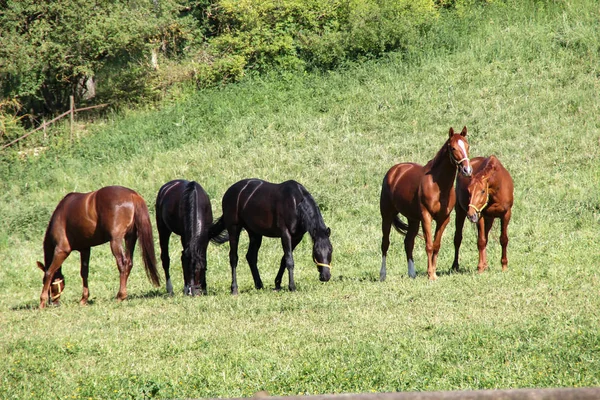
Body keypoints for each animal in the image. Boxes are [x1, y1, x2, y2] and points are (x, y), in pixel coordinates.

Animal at [380, 126, 474, 282]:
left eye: (467, 146)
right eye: (453, 148)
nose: (467, 170)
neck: (439, 186)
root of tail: (394, 171)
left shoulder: (443, 219)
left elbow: (436, 245)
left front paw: (434, 273)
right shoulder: (426, 217)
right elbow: (429, 245)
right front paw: (430, 274)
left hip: (413, 219)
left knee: (408, 243)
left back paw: (412, 273)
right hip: (387, 216)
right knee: (385, 244)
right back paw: (382, 275)